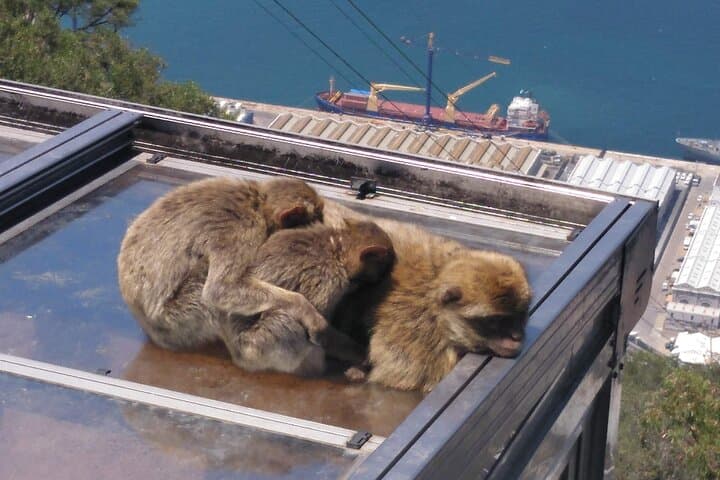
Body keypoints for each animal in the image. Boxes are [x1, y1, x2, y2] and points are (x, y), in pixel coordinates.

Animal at [117, 176, 364, 369]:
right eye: (317, 214)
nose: (324, 223)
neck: (258, 203)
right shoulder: (243, 229)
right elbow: (221, 290)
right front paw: (305, 309)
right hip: (177, 319)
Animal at [232, 219, 395, 376]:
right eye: (381, 271)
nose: (381, 278)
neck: (336, 248)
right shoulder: (328, 280)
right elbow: (321, 331)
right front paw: (361, 355)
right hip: (255, 346)